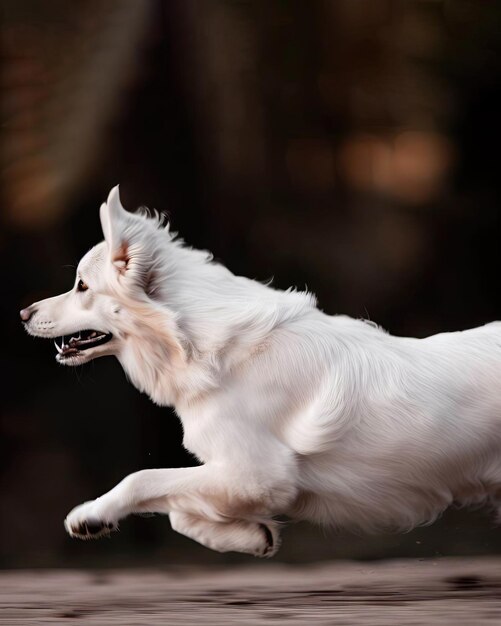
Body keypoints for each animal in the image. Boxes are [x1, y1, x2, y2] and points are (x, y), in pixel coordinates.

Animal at [21, 186, 500, 556]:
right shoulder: (236, 475)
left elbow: (142, 479)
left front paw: (91, 515)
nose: (24, 313)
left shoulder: (257, 474)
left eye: (82, 286)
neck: (201, 346)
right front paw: (251, 536)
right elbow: (178, 512)